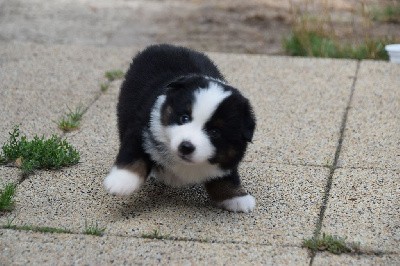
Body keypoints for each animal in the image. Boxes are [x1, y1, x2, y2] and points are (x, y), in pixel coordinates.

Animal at [104, 44, 256, 213]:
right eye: (184, 118)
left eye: (215, 132)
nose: (186, 147)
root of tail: (164, 45)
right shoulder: (142, 124)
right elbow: (135, 153)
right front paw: (122, 181)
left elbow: (226, 177)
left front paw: (236, 198)